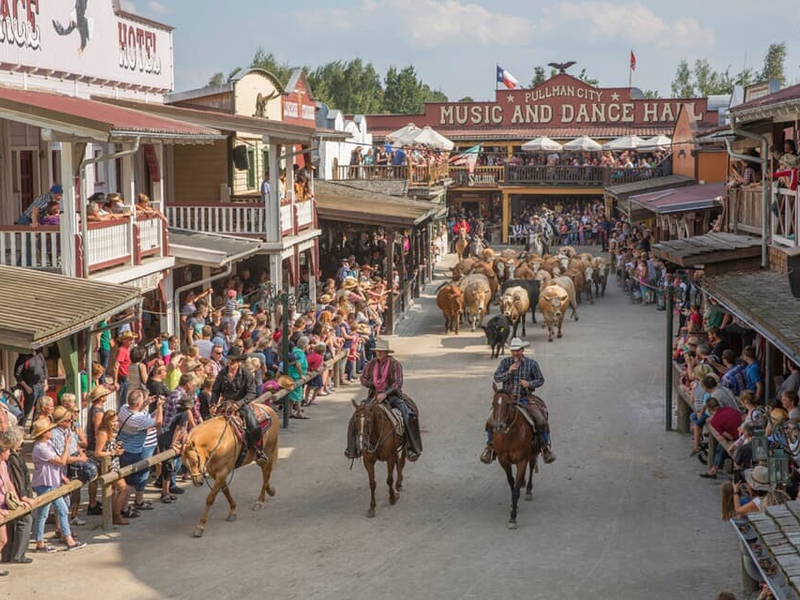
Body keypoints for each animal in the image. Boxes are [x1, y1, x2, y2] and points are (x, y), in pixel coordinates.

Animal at [182, 404, 280, 540]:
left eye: (194, 461)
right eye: (185, 464)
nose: (197, 482)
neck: (218, 441)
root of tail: (268, 409)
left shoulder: (222, 472)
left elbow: (210, 498)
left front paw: (200, 527)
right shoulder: (216, 473)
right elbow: (225, 490)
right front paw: (233, 511)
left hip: (269, 450)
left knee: (266, 474)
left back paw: (260, 501)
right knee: (265, 471)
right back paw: (270, 490)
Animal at [484, 390, 540, 528]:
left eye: (508, 404)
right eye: (493, 403)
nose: (499, 426)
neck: (510, 436)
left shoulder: (521, 461)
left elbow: (515, 490)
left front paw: (513, 518)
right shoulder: (503, 461)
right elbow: (511, 483)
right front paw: (513, 506)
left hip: (533, 453)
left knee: (531, 467)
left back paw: (528, 490)